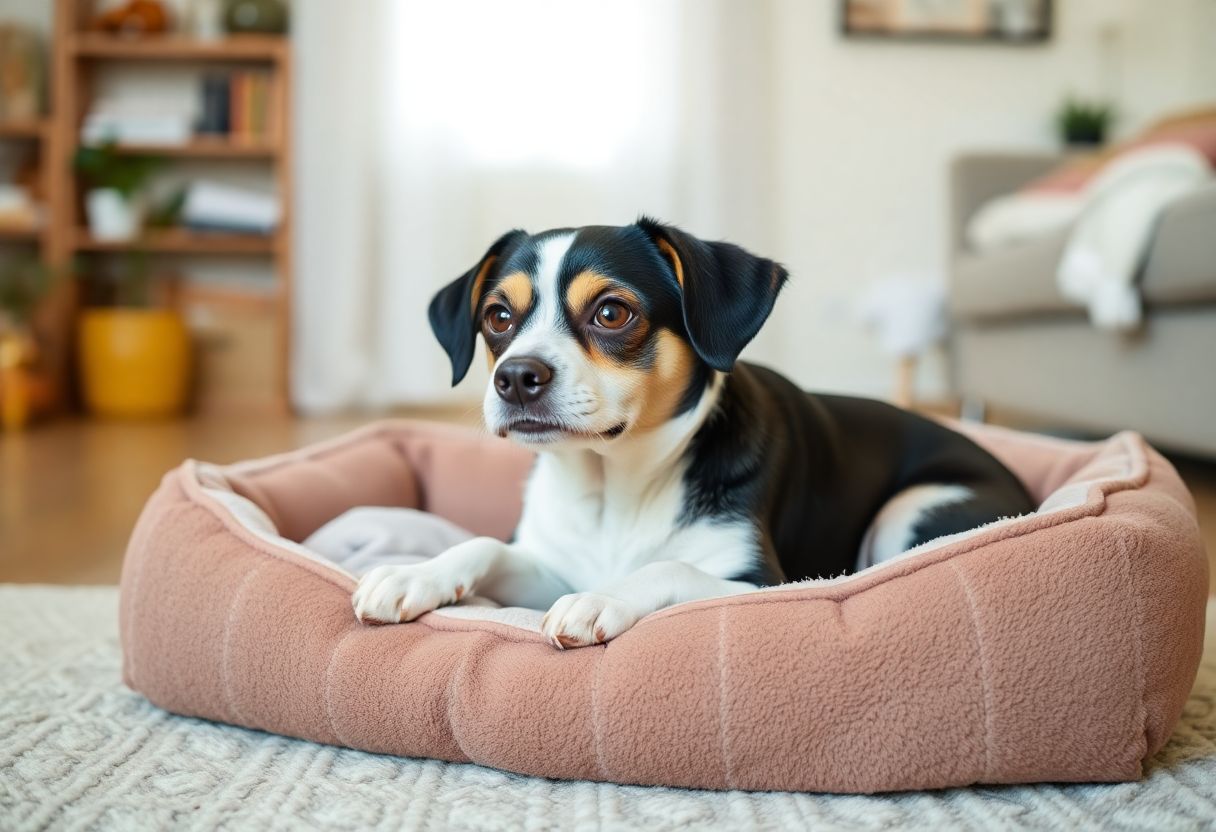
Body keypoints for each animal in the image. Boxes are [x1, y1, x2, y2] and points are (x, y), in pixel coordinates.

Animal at [321, 221, 1026, 651]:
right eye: (498, 316)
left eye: (612, 312)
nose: (515, 377)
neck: (613, 490)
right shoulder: (547, 563)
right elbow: (485, 545)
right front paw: (413, 575)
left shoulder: (761, 583)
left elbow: (669, 565)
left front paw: (600, 598)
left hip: (909, 510)